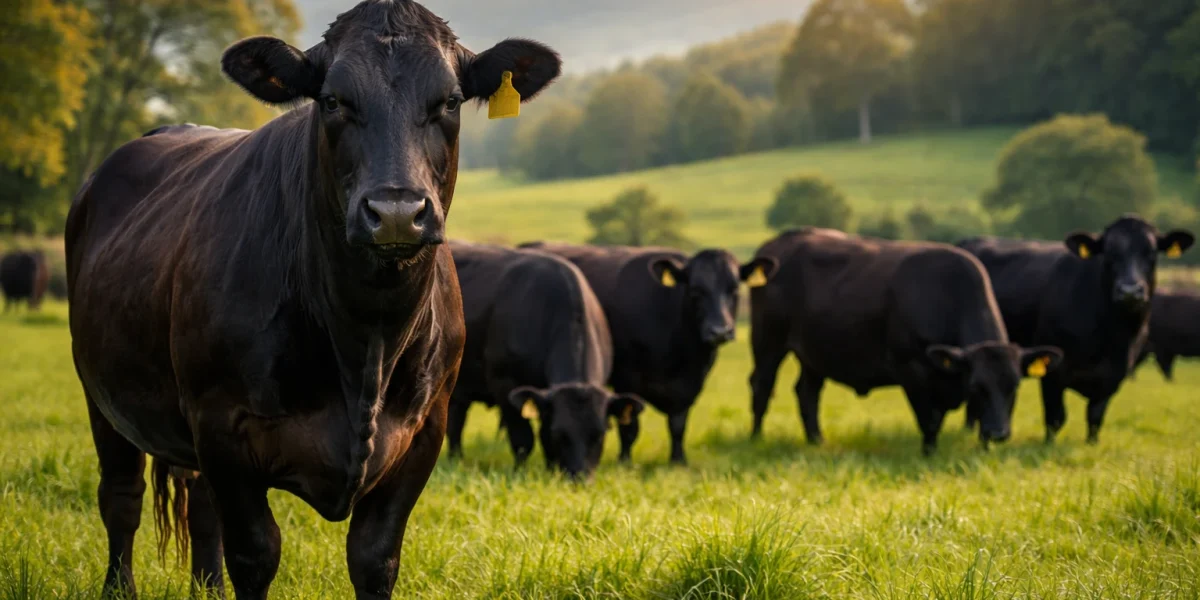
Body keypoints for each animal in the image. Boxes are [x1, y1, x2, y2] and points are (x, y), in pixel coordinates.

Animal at [65, 2, 560, 598]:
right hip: (101, 395)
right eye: (332, 100)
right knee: (121, 499)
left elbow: (374, 558)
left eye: (449, 101)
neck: (365, 339)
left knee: (200, 509)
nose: (396, 212)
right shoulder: (221, 425)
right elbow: (255, 554)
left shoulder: (425, 432)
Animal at [448, 240, 643, 478]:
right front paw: (519, 471)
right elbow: (523, 438)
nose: (579, 479)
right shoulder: (505, 384)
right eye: (560, 433)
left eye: (600, 434)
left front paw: (551, 470)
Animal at [519, 242, 743, 465]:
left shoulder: (689, 385)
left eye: (734, 289)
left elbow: (678, 426)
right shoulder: (627, 379)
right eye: (696, 290)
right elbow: (629, 427)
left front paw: (678, 460)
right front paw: (624, 461)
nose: (720, 331)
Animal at [745, 228, 1063, 454]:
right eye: (977, 386)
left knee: (807, 393)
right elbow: (930, 420)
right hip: (768, 341)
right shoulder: (911, 371)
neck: (947, 296)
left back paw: (816, 440)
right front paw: (928, 454)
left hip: (814, 354)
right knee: (762, 385)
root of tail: (782, 240)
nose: (999, 433)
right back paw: (756, 438)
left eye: (1014, 386)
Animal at [958, 215, 1194, 444]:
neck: (1109, 333)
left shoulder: (1114, 375)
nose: (1129, 291)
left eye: (1151, 252)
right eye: (1109, 253)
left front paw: (1092, 444)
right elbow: (1056, 417)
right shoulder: (1053, 373)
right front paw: (1048, 445)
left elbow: (1095, 416)